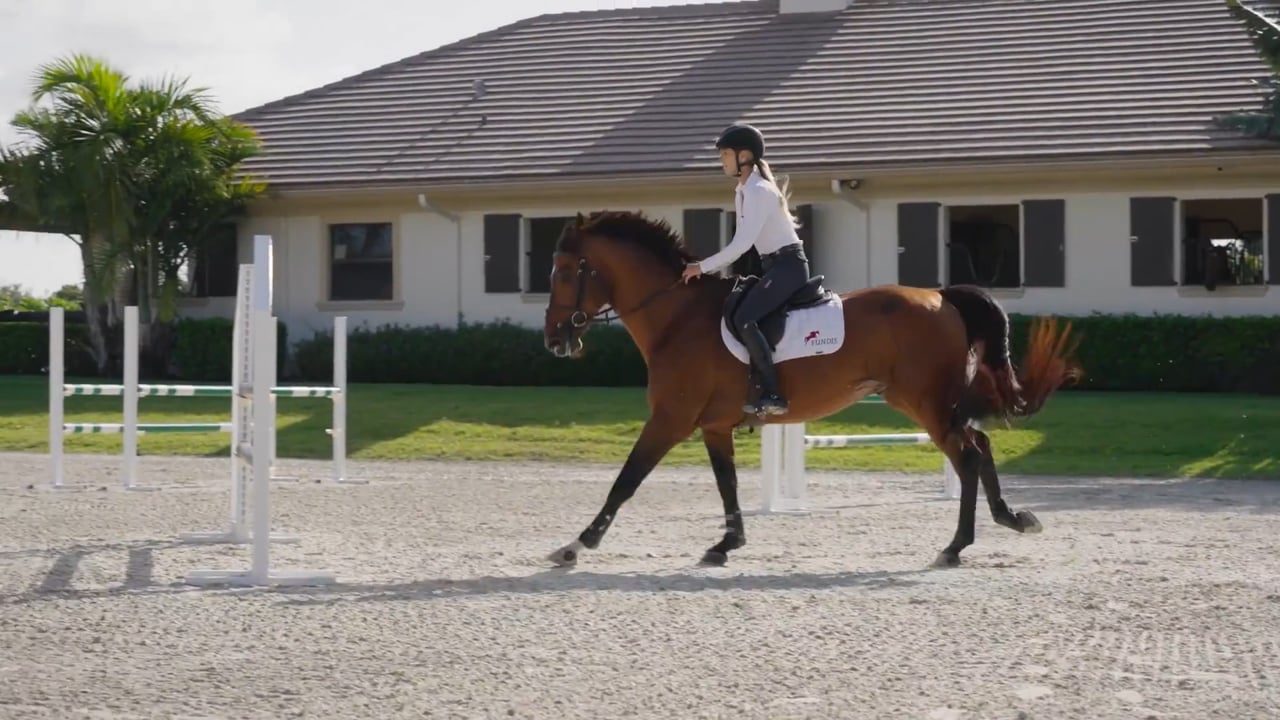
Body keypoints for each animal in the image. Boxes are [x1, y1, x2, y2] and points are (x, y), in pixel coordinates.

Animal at [541, 209, 1083, 570]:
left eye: (564, 272)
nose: (553, 340)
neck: (677, 316)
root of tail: (941, 296)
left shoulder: (669, 420)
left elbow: (626, 480)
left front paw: (576, 545)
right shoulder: (713, 426)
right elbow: (726, 484)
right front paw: (726, 544)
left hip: (925, 402)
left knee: (967, 456)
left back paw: (955, 547)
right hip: (925, 401)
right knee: (981, 446)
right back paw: (1011, 518)